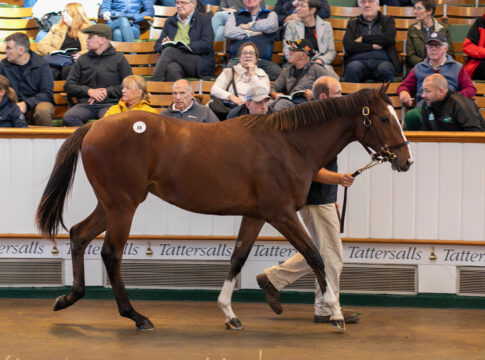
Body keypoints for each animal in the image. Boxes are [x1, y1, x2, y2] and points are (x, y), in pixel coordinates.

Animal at [36, 83, 410, 332]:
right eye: (384, 118)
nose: (406, 160)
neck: (289, 144)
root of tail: (95, 127)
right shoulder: (281, 213)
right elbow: (315, 255)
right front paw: (335, 313)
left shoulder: (255, 215)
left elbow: (238, 258)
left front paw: (230, 314)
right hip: (123, 205)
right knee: (110, 254)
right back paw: (137, 317)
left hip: (112, 204)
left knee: (79, 235)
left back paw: (67, 299)